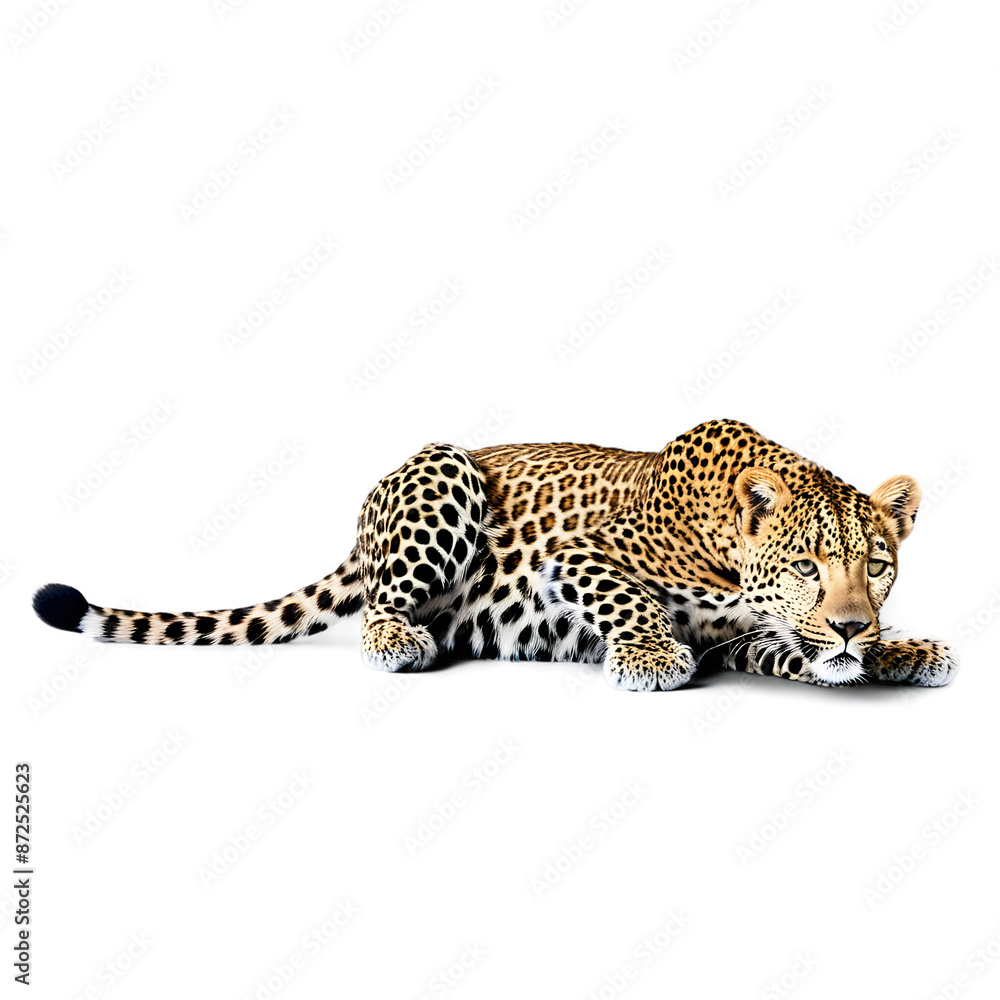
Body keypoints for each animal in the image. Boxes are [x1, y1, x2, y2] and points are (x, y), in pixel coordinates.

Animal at [33, 419, 958, 691]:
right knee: (379, 604)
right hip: (443, 472)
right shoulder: (581, 556)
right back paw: (402, 640)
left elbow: (799, 652)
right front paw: (650, 656)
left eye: (876, 565)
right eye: (806, 565)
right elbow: (632, 602)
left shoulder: (744, 638)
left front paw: (900, 649)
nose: (852, 625)